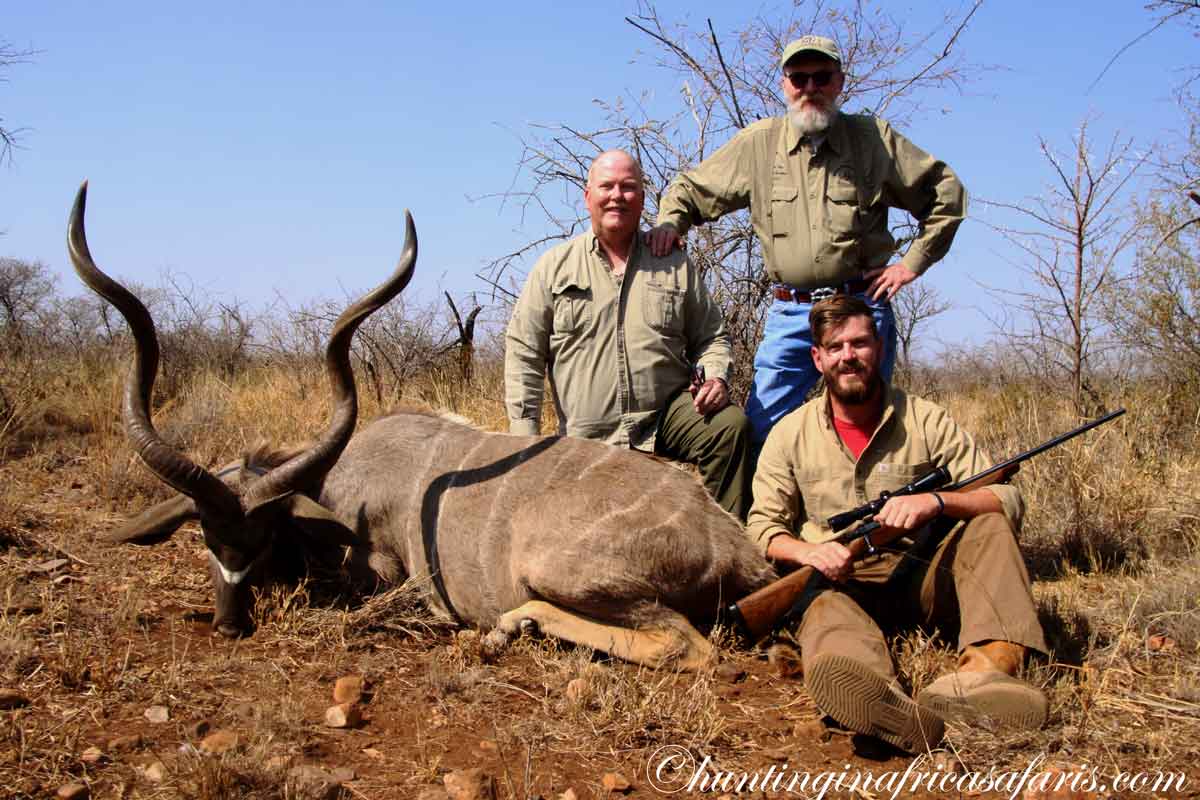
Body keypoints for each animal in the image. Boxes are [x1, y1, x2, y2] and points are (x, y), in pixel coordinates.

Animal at [69, 183, 776, 670]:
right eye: (205, 534)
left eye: (266, 536)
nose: (228, 622)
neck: (338, 486)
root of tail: (734, 545)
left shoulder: (381, 573)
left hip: (566, 573)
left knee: (685, 646)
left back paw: (509, 626)